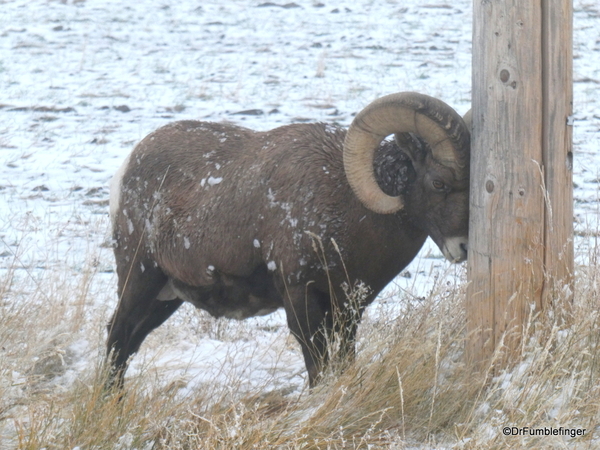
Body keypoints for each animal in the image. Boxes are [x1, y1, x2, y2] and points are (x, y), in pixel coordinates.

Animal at [108, 91, 474, 386]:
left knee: (130, 343)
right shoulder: (300, 296)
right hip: (140, 277)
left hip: (167, 297)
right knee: (117, 335)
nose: (463, 247)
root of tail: (128, 165)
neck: (348, 206)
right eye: (439, 182)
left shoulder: (348, 310)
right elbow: (317, 366)